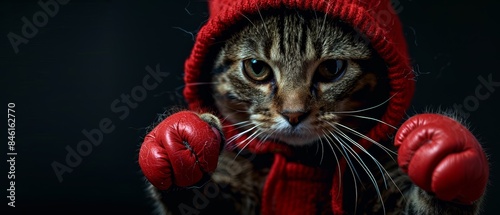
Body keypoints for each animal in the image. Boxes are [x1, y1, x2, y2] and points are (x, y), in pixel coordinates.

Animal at [143, 8, 486, 215]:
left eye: (332, 69)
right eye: (256, 68)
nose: (294, 114)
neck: (303, 162)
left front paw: (443, 145)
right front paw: (174, 145)